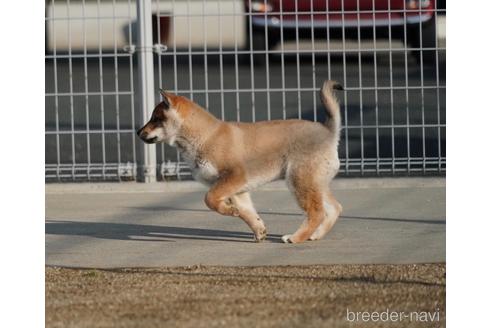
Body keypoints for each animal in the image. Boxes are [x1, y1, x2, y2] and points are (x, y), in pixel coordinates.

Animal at [136, 80, 344, 243]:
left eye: (156, 119)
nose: (138, 132)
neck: (207, 136)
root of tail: (329, 132)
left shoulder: (233, 178)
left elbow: (209, 200)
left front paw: (230, 211)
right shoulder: (238, 190)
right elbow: (247, 212)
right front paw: (256, 228)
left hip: (299, 181)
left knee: (316, 213)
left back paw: (296, 237)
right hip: (315, 183)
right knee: (334, 208)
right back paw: (315, 235)